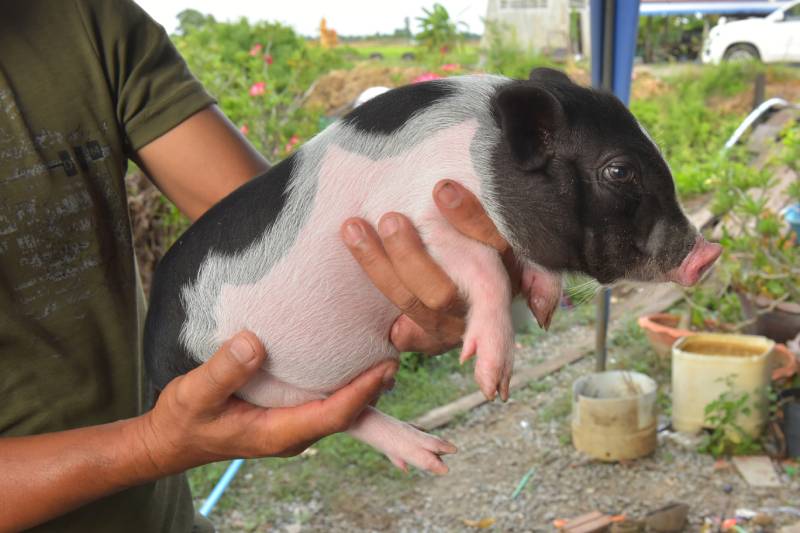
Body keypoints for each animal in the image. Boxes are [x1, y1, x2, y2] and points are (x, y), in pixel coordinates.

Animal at [144, 68, 722, 474]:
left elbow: (524, 263)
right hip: (250, 378)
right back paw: (433, 455)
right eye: (619, 171)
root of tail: (153, 348)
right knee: (340, 414)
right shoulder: (411, 217)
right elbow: (487, 267)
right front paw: (493, 380)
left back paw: (435, 454)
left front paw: (541, 305)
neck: (480, 158)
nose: (709, 253)